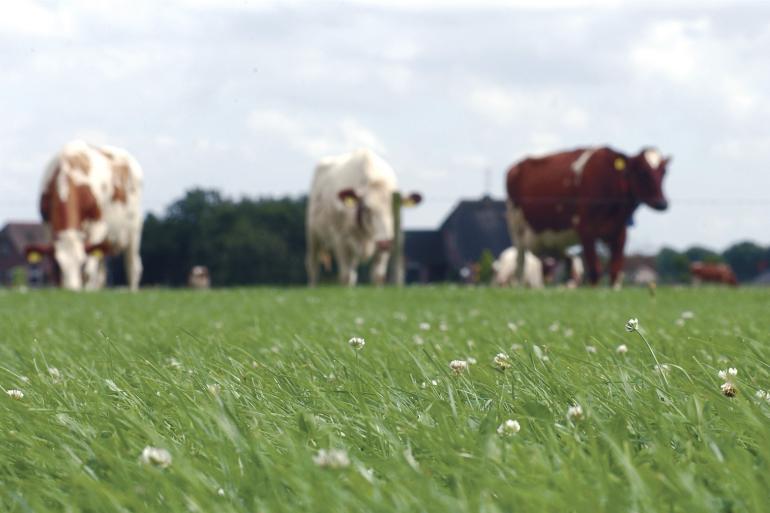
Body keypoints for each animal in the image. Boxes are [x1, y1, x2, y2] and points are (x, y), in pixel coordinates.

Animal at [39, 140, 143, 290]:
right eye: (58, 265)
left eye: (81, 263)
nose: (70, 290)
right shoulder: (47, 225)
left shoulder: (98, 226)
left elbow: (89, 271)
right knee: (102, 274)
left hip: (134, 231)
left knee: (132, 267)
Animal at [304, 148, 420, 286]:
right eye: (366, 208)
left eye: (394, 209)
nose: (385, 242)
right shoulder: (341, 241)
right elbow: (345, 276)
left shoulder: (384, 246)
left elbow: (377, 276)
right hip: (313, 237)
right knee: (313, 266)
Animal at [504, 146, 664, 286]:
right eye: (643, 172)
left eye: (664, 172)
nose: (663, 203)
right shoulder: (586, 230)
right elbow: (595, 269)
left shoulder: (619, 232)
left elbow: (615, 270)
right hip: (517, 230)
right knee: (520, 263)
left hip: (554, 238)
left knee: (568, 261)